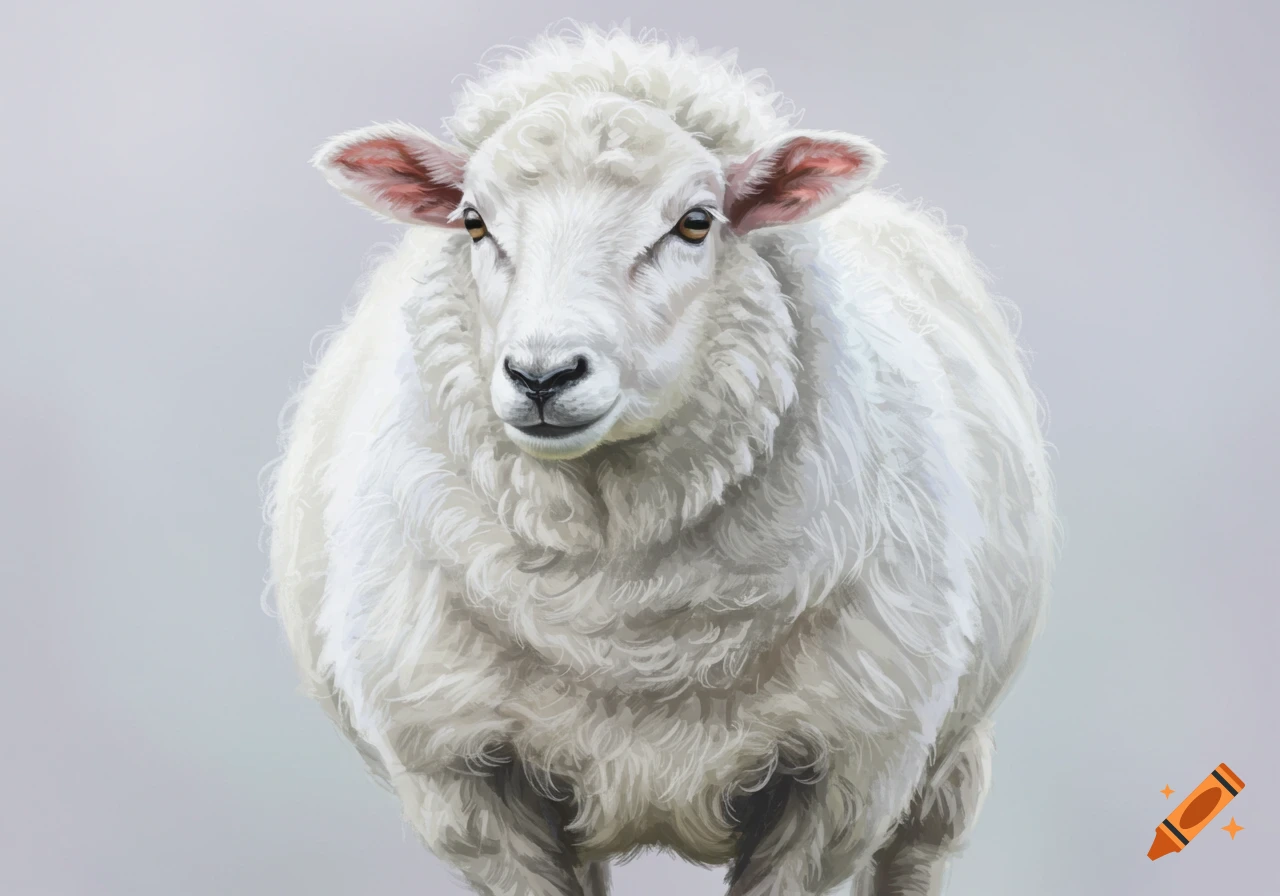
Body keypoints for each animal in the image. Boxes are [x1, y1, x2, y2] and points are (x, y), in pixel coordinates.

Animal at [263, 22, 1057, 896]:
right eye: (473, 222)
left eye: (697, 222)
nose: (543, 375)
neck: (628, 626)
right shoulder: (466, 783)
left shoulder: (839, 782)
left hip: (947, 758)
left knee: (915, 857)